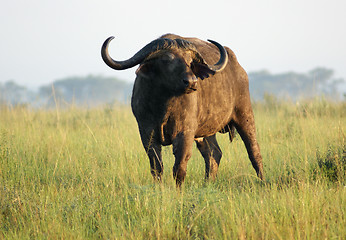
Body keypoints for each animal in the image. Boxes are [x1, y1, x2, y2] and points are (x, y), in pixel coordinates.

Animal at [101, 33, 264, 187]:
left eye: (190, 61)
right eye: (167, 60)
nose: (192, 82)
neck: (162, 106)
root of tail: (238, 68)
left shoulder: (184, 132)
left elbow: (179, 167)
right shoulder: (146, 133)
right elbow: (156, 167)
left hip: (245, 114)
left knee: (254, 152)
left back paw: (262, 181)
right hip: (206, 131)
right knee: (213, 154)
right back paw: (208, 183)